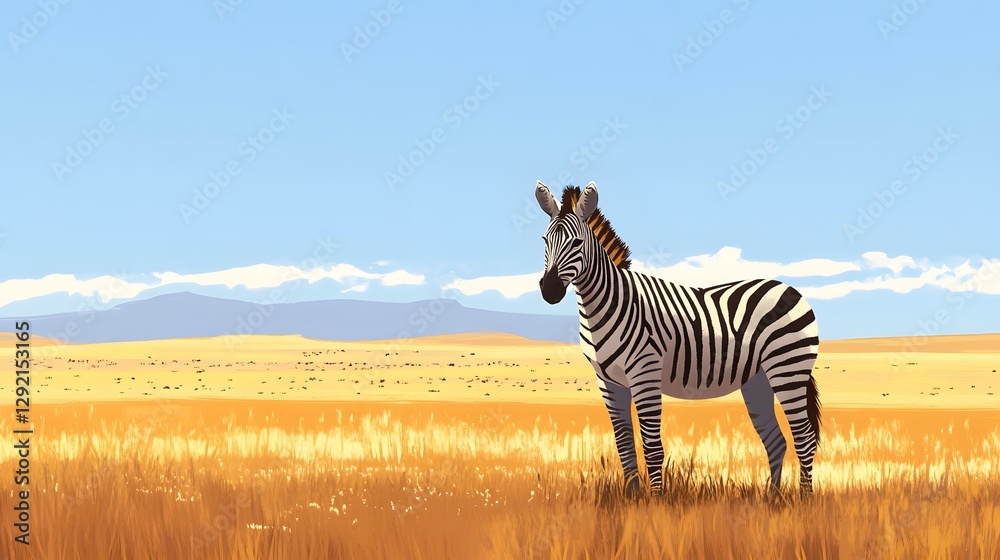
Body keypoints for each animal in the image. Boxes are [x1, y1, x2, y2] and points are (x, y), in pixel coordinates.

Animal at [535, 181, 822, 494]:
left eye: (576, 243)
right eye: (544, 240)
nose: (549, 290)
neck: (604, 305)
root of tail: (789, 288)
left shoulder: (645, 373)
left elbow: (652, 447)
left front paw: (656, 501)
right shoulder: (609, 381)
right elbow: (624, 445)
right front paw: (632, 498)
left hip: (788, 367)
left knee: (804, 439)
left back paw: (803, 499)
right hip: (758, 379)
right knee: (776, 441)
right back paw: (773, 499)